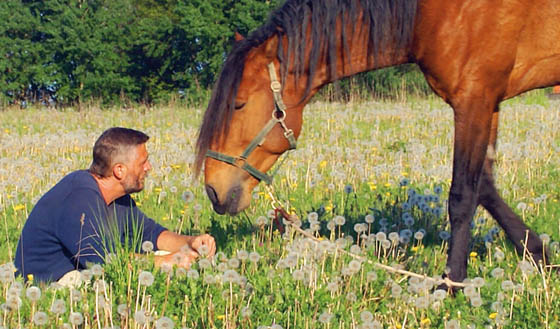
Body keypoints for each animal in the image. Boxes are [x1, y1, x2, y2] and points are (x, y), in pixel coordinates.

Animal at [194, 0, 560, 282]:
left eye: (238, 103)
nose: (213, 190)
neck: (432, 12)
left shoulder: (474, 97)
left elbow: (462, 196)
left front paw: (450, 284)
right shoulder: (488, 102)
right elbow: (485, 186)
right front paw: (542, 255)